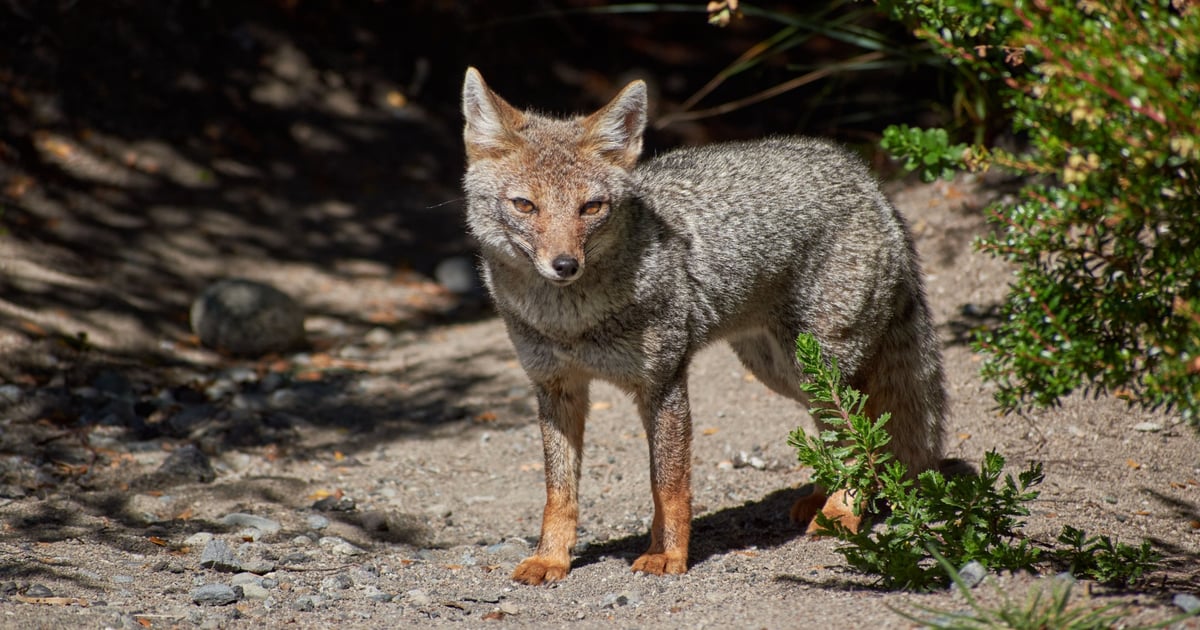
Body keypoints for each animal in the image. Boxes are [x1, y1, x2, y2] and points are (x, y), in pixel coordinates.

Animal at [460, 67, 947, 585]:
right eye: (525, 205)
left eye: (590, 208)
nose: (565, 265)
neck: (571, 322)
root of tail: (866, 178)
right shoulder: (555, 388)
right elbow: (559, 492)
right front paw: (551, 557)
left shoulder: (664, 382)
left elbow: (668, 485)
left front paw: (669, 555)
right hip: (784, 373)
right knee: (837, 432)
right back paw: (821, 498)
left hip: (820, 366)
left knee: (865, 433)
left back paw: (842, 514)